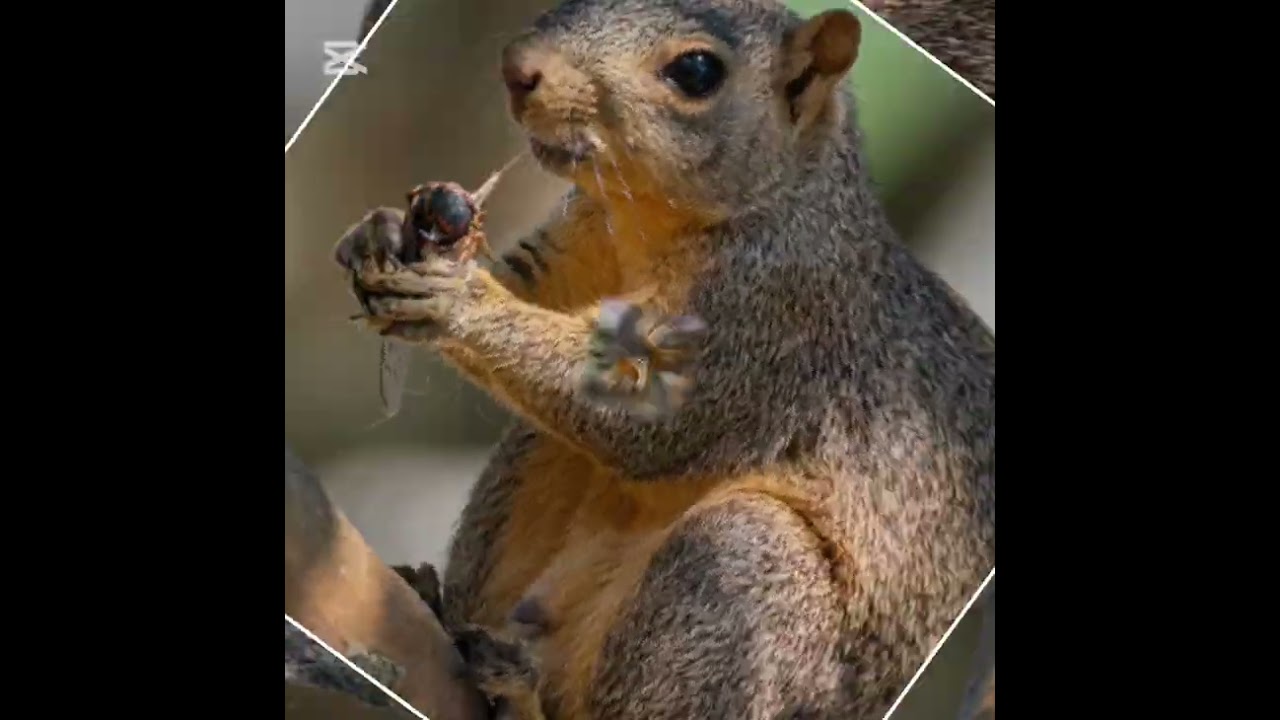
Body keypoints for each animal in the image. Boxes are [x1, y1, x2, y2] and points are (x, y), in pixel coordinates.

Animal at [334, 1, 995, 719]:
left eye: (697, 71)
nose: (518, 68)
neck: (649, 222)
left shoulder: (773, 313)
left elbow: (658, 423)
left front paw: (458, 299)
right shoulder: (577, 246)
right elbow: (535, 294)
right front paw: (383, 233)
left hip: (747, 573)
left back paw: (518, 693)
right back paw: (447, 614)